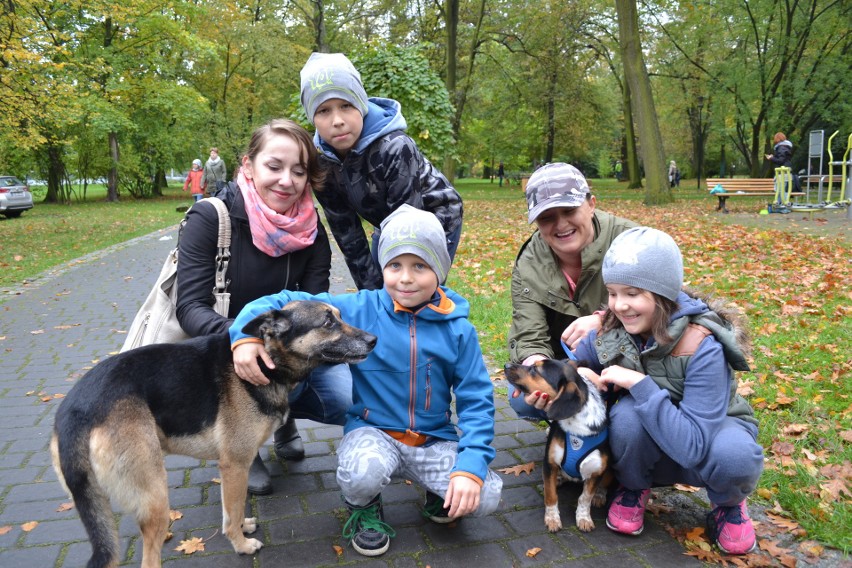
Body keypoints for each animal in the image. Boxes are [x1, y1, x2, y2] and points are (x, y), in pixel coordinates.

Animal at [49, 300, 376, 564]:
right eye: (328, 322)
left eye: (340, 315)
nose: (373, 340)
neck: (267, 358)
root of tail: (73, 412)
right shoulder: (235, 465)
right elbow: (233, 512)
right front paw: (242, 545)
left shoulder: (232, 469)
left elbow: (232, 511)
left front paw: (242, 527)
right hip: (155, 499)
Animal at [502, 360, 608, 532]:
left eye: (535, 369)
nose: (506, 365)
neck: (577, 429)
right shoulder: (550, 462)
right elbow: (551, 495)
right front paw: (552, 519)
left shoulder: (596, 471)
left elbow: (585, 498)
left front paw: (584, 518)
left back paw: (599, 495)